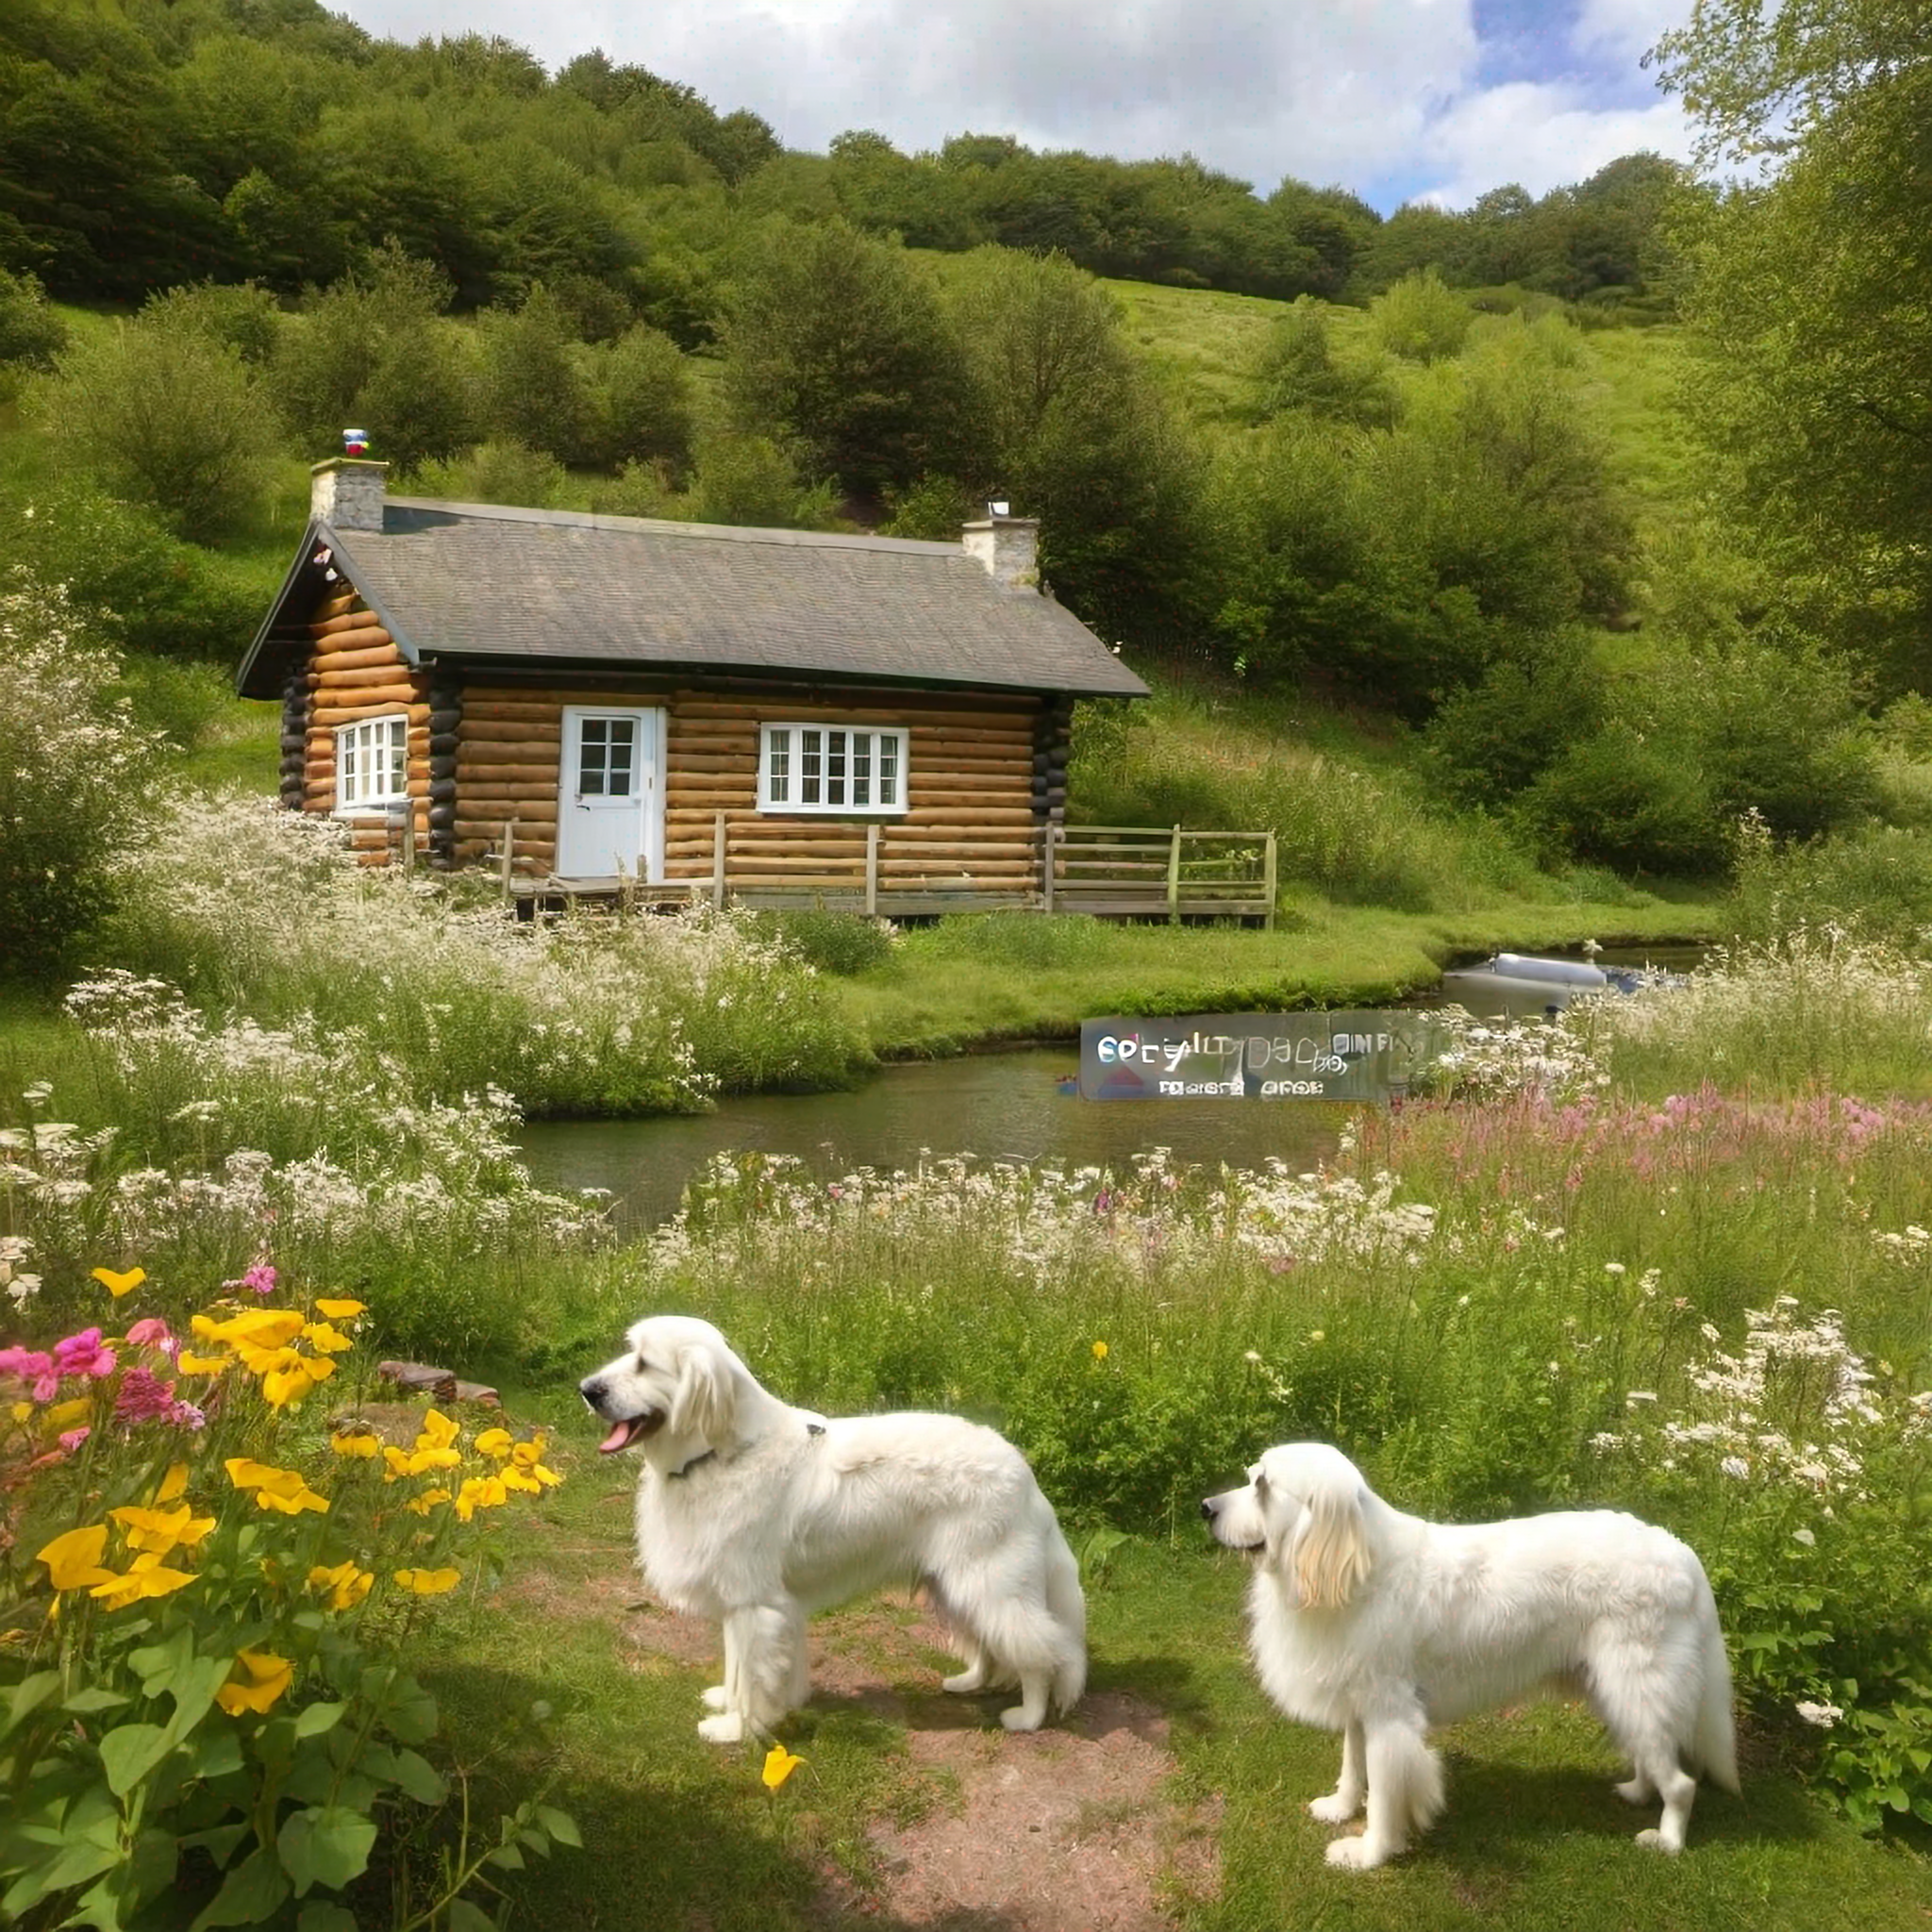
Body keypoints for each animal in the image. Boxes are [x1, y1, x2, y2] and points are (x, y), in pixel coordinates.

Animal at [572, 1321, 1090, 1746]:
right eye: (629, 1352)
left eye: (643, 1363)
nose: (586, 1389)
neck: (726, 1452)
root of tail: (1023, 1471)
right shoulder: (746, 1603)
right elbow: (737, 1669)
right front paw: (730, 1703)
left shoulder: (753, 1605)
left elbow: (750, 1677)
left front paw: (735, 1728)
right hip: (956, 1583)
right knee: (993, 1645)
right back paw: (969, 1682)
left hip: (990, 1584)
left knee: (1043, 1653)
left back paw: (1028, 1717)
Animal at [1205, 1444, 1739, 1862]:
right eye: (1252, 1476)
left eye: (1263, 1485)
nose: (1205, 1507)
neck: (1360, 1572)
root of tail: (1680, 1551)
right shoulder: (1359, 1704)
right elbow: (1351, 1768)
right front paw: (1339, 1809)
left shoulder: (1389, 1717)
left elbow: (1383, 1792)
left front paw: (1368, 1854)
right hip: (1617, 1690)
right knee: (1652, 1755)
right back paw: (1635, 1793)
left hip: (1638, 1685)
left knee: (1681, 1782)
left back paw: (1666, 1842)